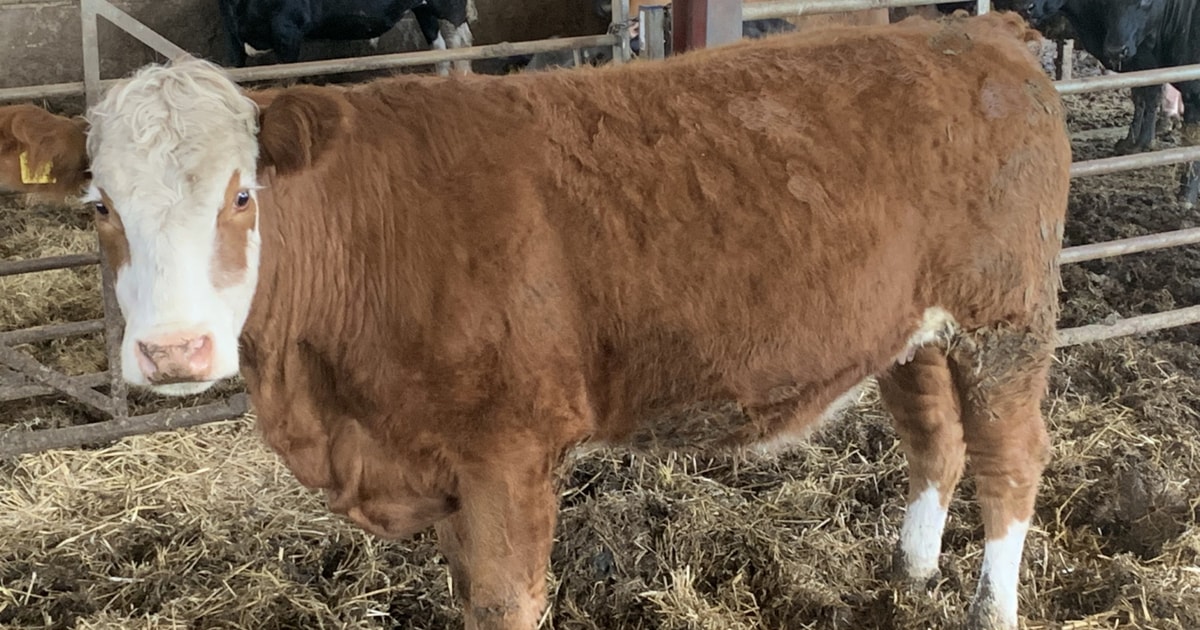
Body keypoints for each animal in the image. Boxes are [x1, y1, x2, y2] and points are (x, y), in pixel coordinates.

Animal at [0, 12, 1070, 630]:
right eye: (98, 206)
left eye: (242, 195)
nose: (173, 350)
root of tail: (977, 34)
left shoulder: (508, 450)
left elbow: (508, 600)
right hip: (913, 328)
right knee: (933, 438)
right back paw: (910, 577)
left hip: (1007, 315)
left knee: (1010, 459)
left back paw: (991, 608)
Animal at [218, 0, 474, 76]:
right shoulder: (232, 36)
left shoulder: (288, 30)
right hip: (424, 9)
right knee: (440, 46)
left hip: (448, 6)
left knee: (460, 41)